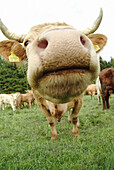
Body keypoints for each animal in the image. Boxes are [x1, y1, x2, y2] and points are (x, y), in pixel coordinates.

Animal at [0, 8, 107, 139]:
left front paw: (76, 135)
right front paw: (54, 137)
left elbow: (75, 116)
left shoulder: (80, 98)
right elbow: (50, 121)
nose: (63, 41)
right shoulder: (39, 102)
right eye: (26, 42)